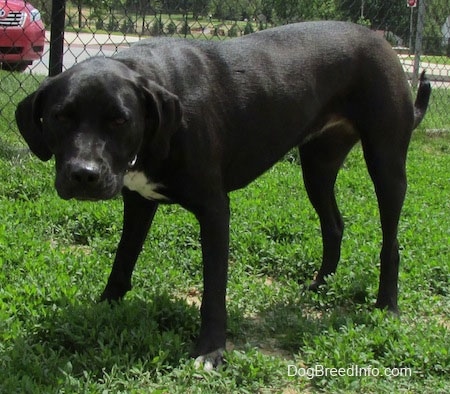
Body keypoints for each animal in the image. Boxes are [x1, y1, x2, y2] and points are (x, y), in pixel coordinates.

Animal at [14, 22, 428, 370]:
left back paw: (386, 305)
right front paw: (105, 306)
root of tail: (380, 39)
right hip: (317, 166)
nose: (84, 175)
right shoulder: (138, 200)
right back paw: (319, 285)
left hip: (386, 161)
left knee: (391, 242)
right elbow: (123, 258)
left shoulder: (214, 210)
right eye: (61, 116)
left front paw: (211, 349)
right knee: (334, 224)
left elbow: (214, 287)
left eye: (119, 119)